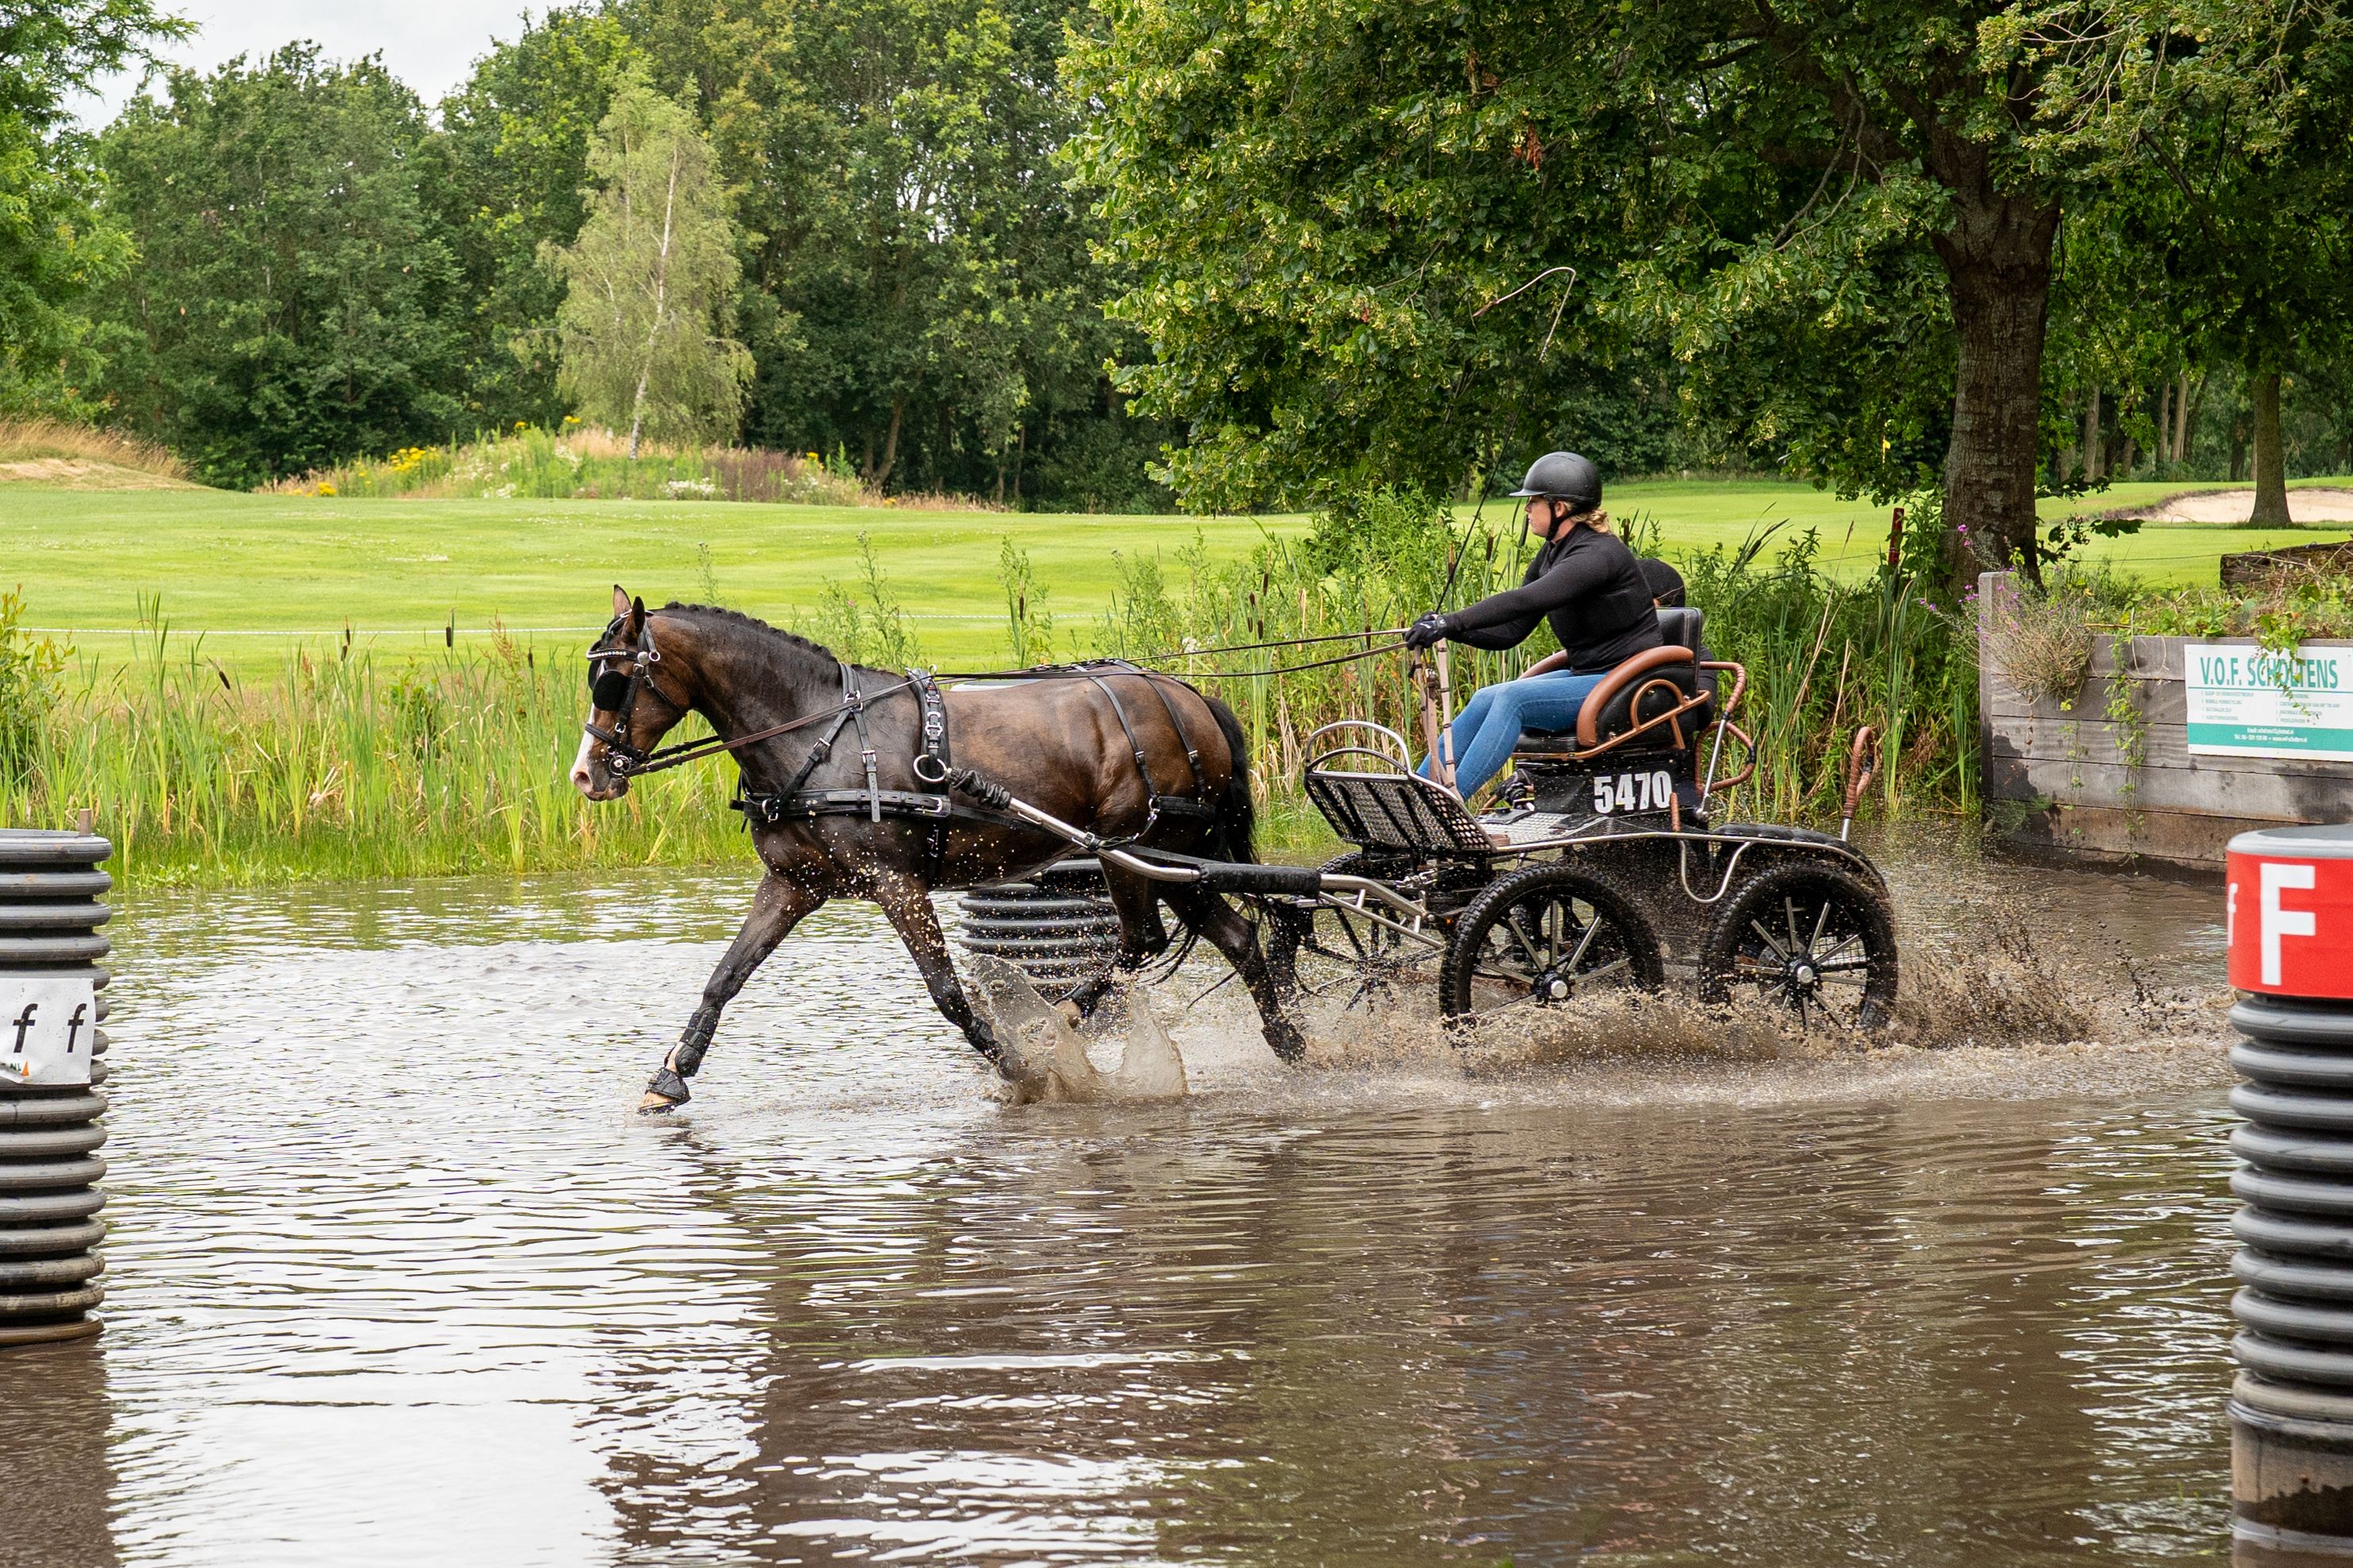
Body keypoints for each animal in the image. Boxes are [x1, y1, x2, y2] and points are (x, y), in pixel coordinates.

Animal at [570, 587, 1307, 1111]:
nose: (586, 774)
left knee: (1141, 941)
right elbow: (726, 975)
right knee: (1236, 937)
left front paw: (1017, 1068)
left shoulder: (895, 882)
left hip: (1128, 850)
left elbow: (948, 992)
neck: (818, 734)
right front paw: (673, 1074)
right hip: (1172, 859)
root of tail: (1189, 697)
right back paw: (1289, 1042)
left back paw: (1056, 1024)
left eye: (616, 681)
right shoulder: (793, 884)